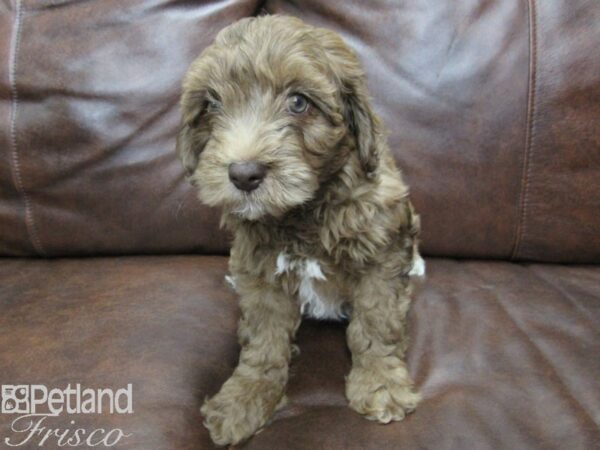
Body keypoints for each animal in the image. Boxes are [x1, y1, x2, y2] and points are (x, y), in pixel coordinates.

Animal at [176, 14, 424, 446]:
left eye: (298, 102)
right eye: (212, 104)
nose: (243, 174)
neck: (304, 211)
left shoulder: (382, 254)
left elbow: (377, 322)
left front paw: (381, 384)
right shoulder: (260, 274)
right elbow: (264, 341)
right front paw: (246, 397)